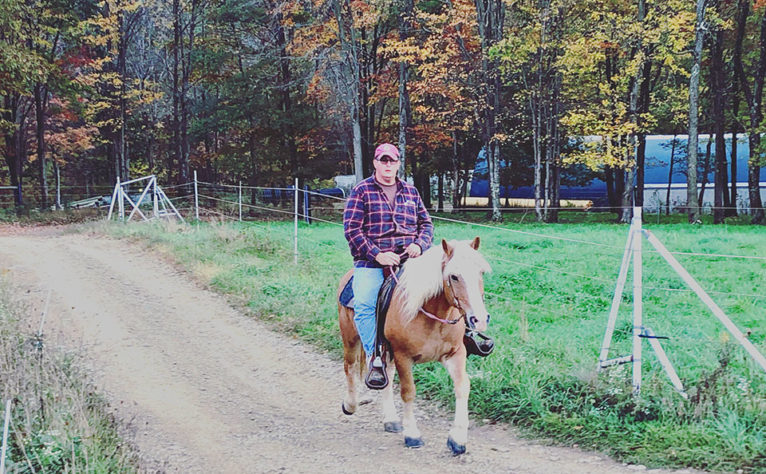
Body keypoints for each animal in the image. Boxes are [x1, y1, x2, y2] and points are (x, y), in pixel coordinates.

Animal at [340, 237, 496, 456]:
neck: (431, 315)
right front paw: (412, 434)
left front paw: (457, 439)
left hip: (386, 352)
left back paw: (391, 419)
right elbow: (408, 391)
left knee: (386, 375)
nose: (479, 319)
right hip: (351, 340)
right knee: (350, 367)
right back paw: (350, 405)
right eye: (454, 276)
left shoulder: (455, 353)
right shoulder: (403, 356)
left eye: (480, 272)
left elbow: (462, 386)